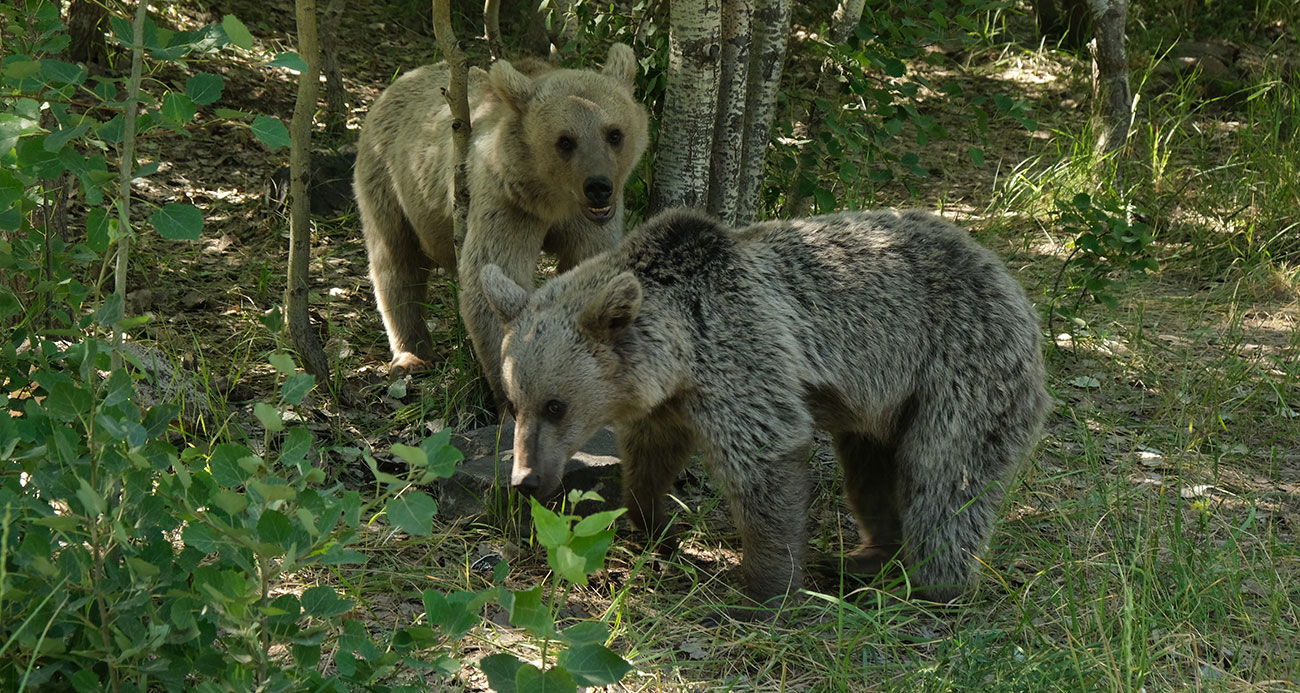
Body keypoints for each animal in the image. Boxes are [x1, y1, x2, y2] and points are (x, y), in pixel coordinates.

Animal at [353, 43, 647, 397]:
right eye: (565, 140)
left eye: (614, 134)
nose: (599, 187)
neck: (551, 201)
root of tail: (400, 80)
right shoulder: (505, 202)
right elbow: (492, 280)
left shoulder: (587, 224)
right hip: (388, 180)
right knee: (396, 261)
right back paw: (412, 355)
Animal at [483, 208, 1050, 608]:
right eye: (514, 400)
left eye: (556, 405)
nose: (526, 480)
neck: (683, 351)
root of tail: (1004, 272)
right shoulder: (671, 401)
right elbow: (651, 456)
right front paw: (652, 526)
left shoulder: (743, 356)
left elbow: (764, 462)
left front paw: (763, 587)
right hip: (885, 405)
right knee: (870, 471)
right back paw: (865, 559)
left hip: (960, 365)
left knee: (946, 476)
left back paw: (932, 587)